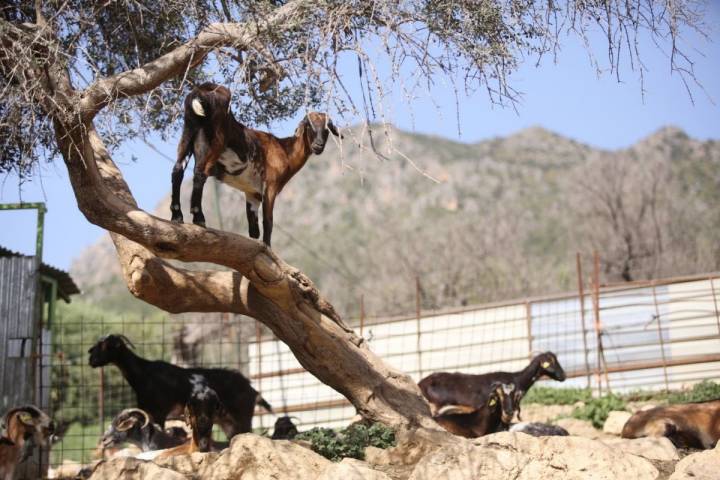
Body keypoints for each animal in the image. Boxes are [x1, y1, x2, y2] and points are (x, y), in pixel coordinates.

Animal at [87, 334, 272, 438]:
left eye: (105, 345)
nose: (90, 360)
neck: (144, 374)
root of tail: (253, 390)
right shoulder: (149, 413)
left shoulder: (160, 414)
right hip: (228, 423)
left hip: (243, 417)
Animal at [174, 81, 344, 246]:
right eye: (309, 126)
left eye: (327, 129)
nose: (318, 145)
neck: (284, 150)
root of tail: (200, 92)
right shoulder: (270, 186)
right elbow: (268, 221)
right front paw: (267, 247)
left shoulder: (252, 193)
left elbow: (253, 230)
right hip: (216, 141)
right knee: (200, 173)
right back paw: (198, 218)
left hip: (187, 133)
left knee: (178, 170)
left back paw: (177, 216)